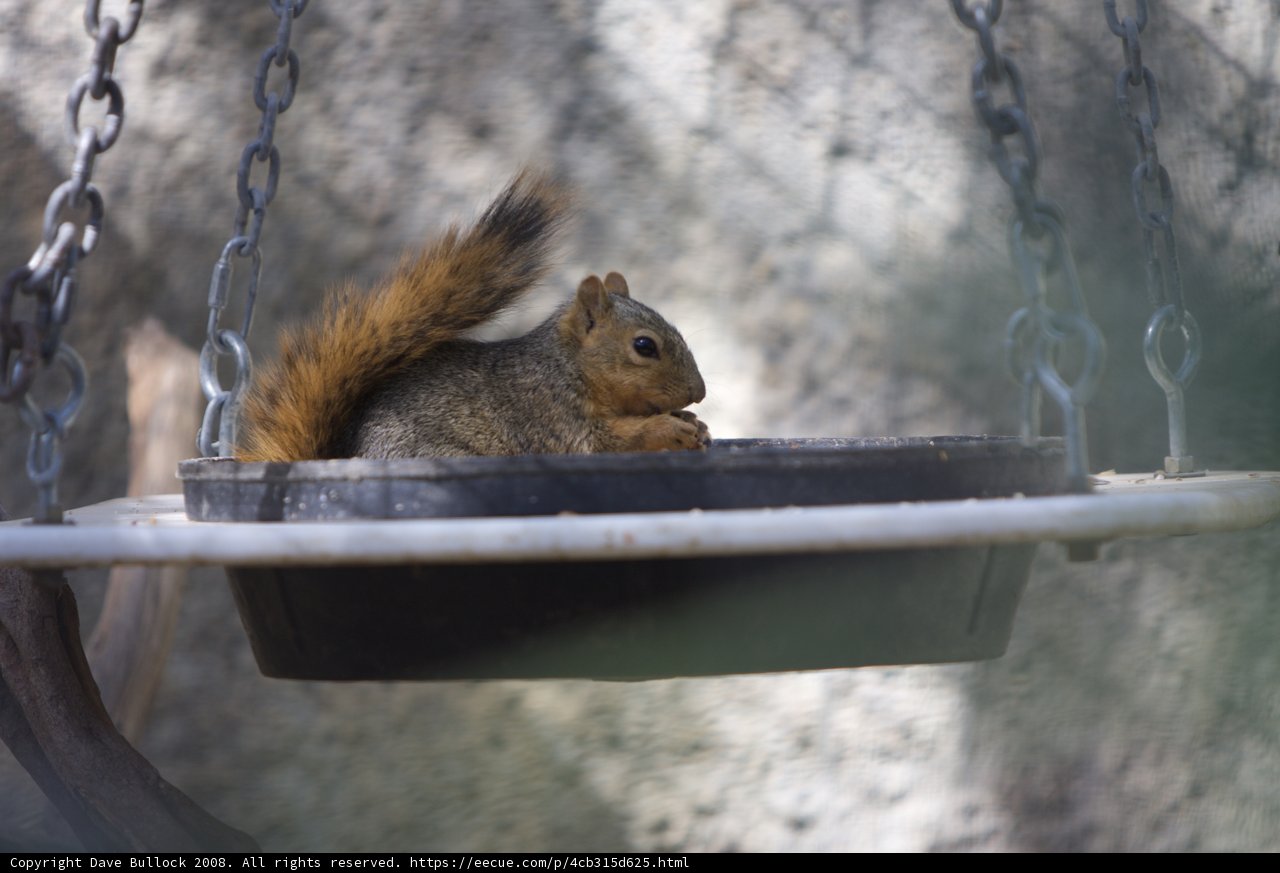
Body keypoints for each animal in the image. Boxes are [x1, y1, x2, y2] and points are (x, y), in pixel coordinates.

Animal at [237, 171, 710, 461]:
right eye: (644, 346)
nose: (700, 393)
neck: (566, 365)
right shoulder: (548, 414)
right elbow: (600, 443)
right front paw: (667, 429)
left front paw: (693, 424)